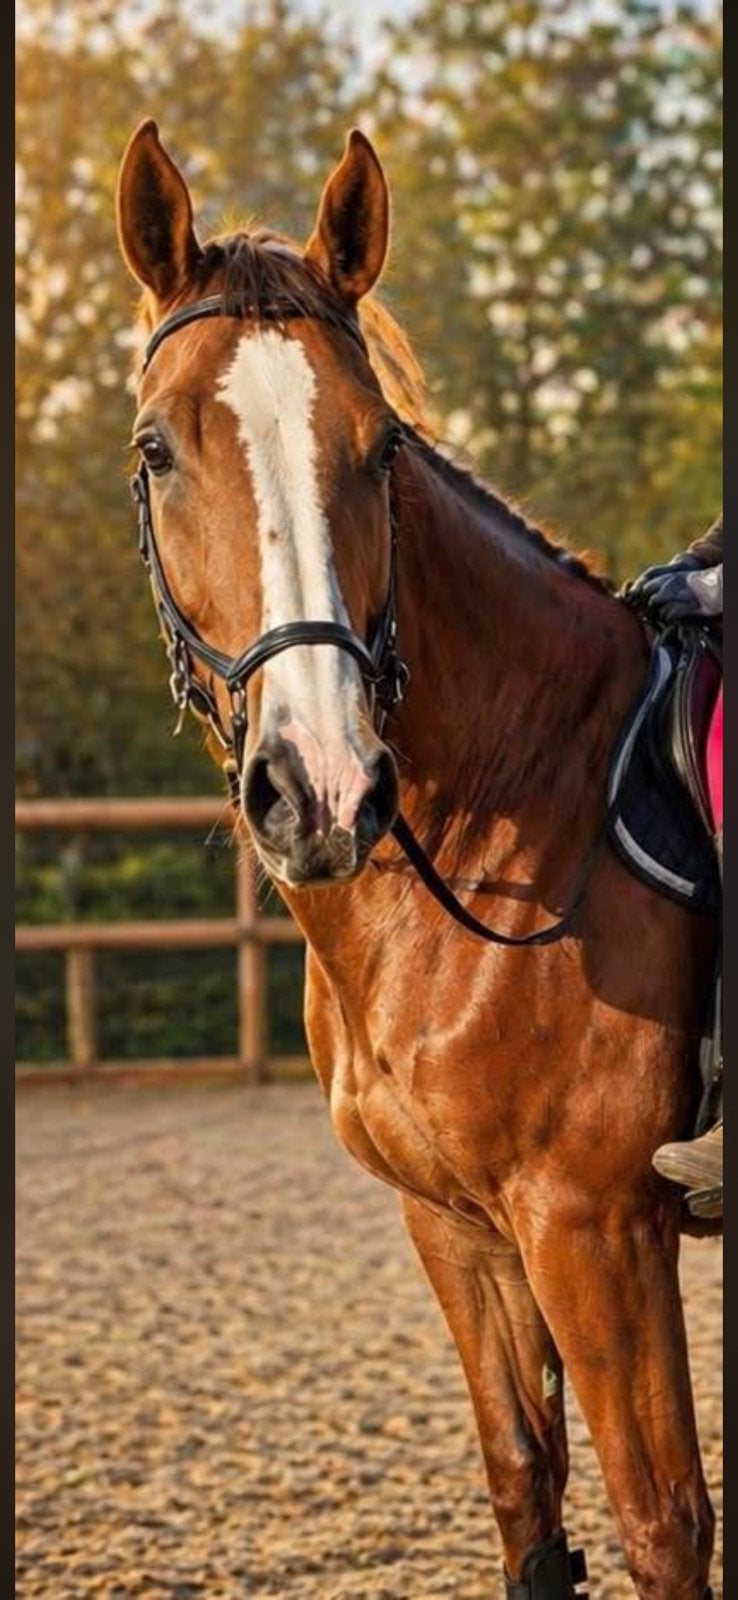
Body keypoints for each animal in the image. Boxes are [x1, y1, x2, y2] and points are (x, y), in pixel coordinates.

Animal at [116, 120, 719, 1599]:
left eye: (379, 445)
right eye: (158, 449)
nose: (323, 788)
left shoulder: (593, 1225)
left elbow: (662, 1522)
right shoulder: (458, 1227)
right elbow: (527, 1503)